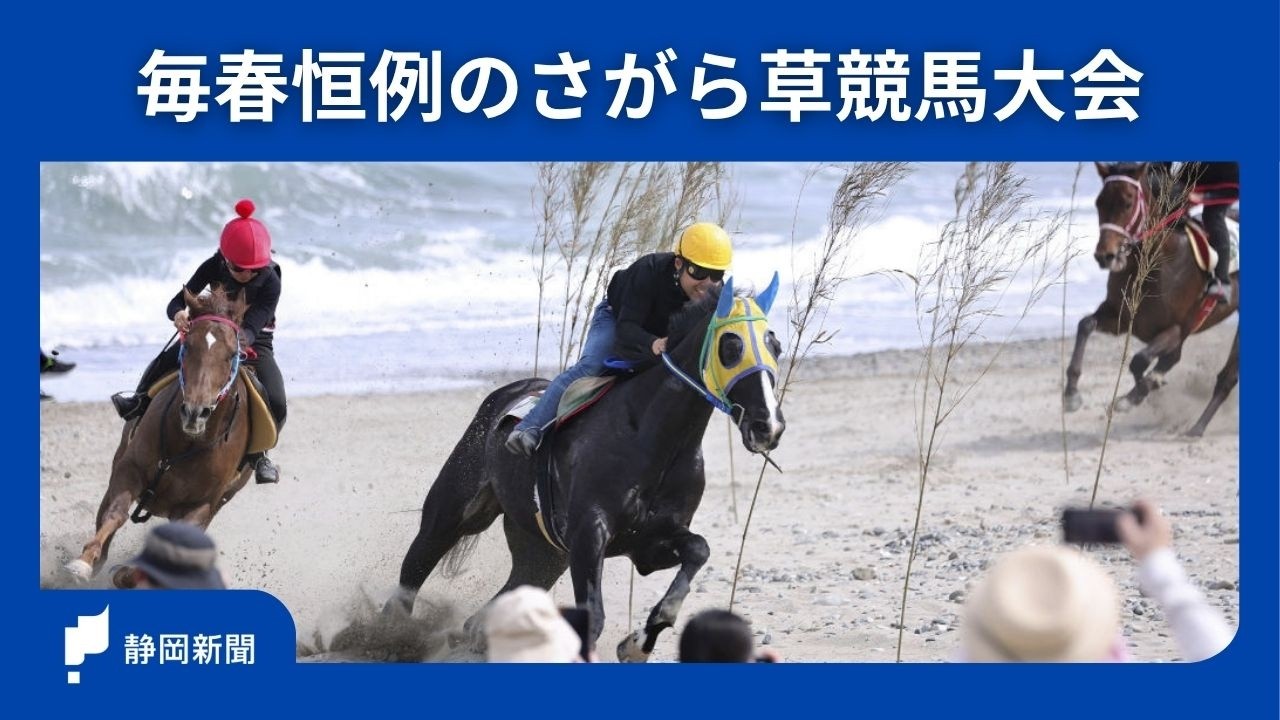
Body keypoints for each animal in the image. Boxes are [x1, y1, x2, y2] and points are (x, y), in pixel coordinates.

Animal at [65, 286, 257, 583]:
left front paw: (127, 574)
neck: (186, 443)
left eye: (231, 354)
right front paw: (84, 563)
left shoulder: (200, 507)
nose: (195, 413)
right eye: (187, 346)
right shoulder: (129, 470)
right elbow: (115, 514)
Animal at [388, 275, 786, 661]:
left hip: (543, 553)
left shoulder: (649, 543)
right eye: (731, 346)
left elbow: (699, 550)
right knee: (414, 570)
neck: (648, 436)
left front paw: (638, 643)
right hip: (454, 509)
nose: (768, 425)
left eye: (776, 345)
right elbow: (593, 615)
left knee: (497, 603)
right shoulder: (588, 534)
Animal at [1064, 162, 1239, 436]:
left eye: (1127, 202)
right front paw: (1071, 394)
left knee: (1226, 377)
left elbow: (1141, 360)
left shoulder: (1177, 328)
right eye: (1099, 202)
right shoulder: (1121, 317)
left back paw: (1197, 426)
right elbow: (1086, 325)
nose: (1105, 256)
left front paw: (1133, 397)